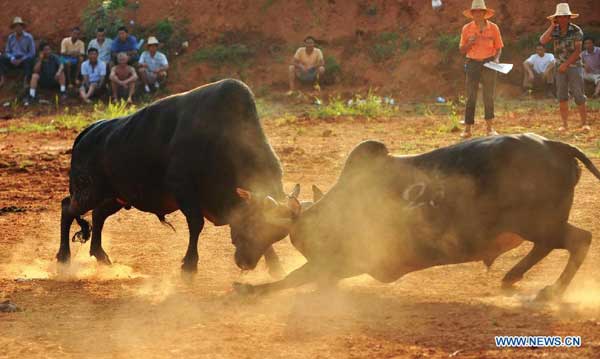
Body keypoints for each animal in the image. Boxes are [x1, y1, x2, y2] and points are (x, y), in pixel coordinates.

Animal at [58, 79, 290, 276]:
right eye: (252, 227)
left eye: (274, 234)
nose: (246, 263)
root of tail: (88, 131)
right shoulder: (183, 190)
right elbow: (196, 224)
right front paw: (189, 265)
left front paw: (276, 266)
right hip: (88, 192)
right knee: (67, 208)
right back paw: (63, 257)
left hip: (117, 196)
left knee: (98, 215)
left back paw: (101, 255)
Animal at [234, 134, 600, 300]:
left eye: (249, 224)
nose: (240, 260)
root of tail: (556, 145)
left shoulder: (337, 263)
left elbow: (291, 279)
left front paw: (248, 289)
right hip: (540, 226)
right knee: (557, 244)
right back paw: (514, 277)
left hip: (540, 224)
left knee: (578, 240)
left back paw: (550, 291)